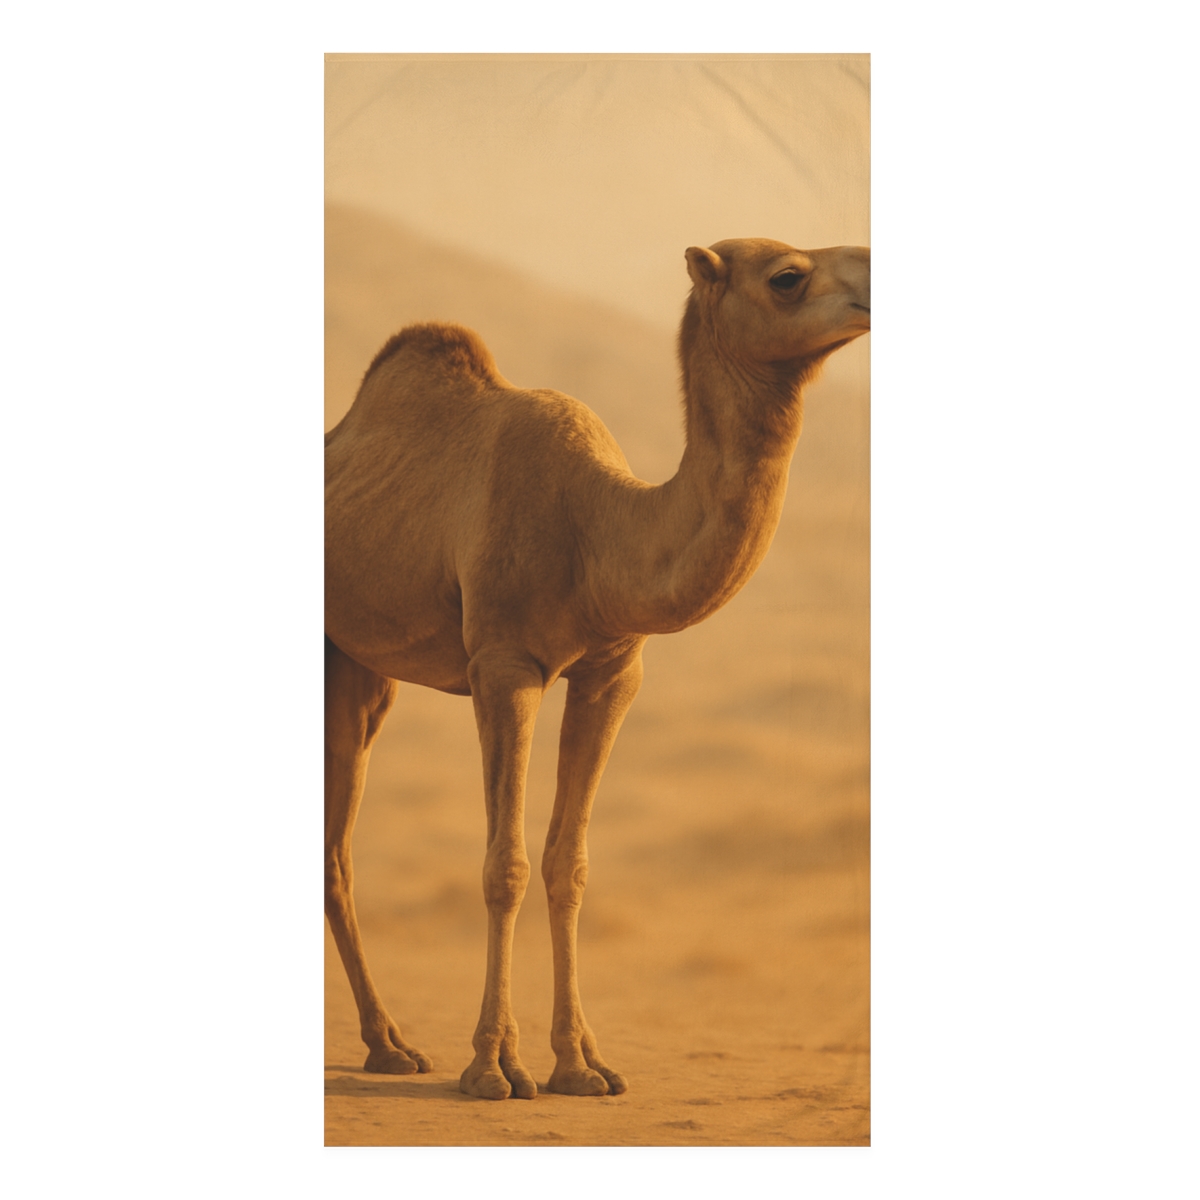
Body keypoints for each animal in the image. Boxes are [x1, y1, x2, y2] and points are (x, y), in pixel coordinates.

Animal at [325, 237, 870, 1100]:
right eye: (788, 276)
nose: (876, 286)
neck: (597, 527)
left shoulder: (612, 673)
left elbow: (567, 862)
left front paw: (580, 1064)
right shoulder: (504, 663)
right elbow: (505, 865)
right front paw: (493, 1067)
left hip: (360, 666)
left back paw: (390, 1045)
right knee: (340, 853)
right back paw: (391, 1046)